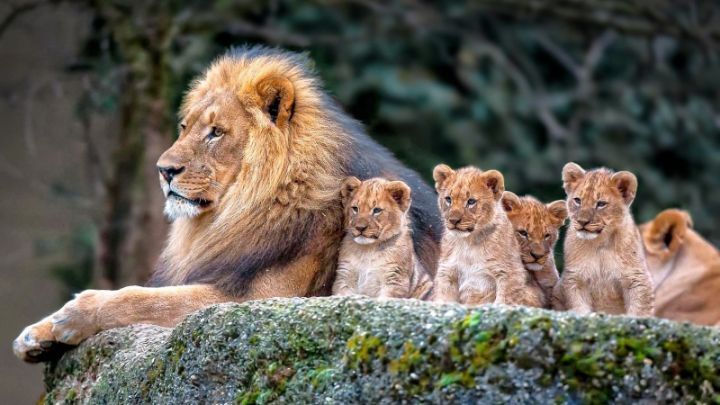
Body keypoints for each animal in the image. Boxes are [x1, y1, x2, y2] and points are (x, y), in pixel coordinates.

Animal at [15, 45, 444, 362]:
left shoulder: (261, 300)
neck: (238, 210)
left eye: (216, 133)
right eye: (184, 127)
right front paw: (36, 334)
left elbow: (146, 299)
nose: (163, 170)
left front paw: (75, 313)